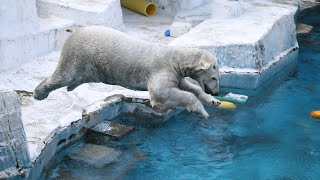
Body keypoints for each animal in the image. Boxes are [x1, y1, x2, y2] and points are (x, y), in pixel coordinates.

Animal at [33, 25, 221, 118]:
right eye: (214, 77)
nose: (217, 92)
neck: (174, 58)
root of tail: (76, 30)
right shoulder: (160, 70)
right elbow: (161, 94)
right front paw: (202, 111)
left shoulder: (174, 74)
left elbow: (189, 87)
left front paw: (213, 101)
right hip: (78, 51)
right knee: (64, 75)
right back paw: (39, 93)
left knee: (80, 77)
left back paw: (71, 87)